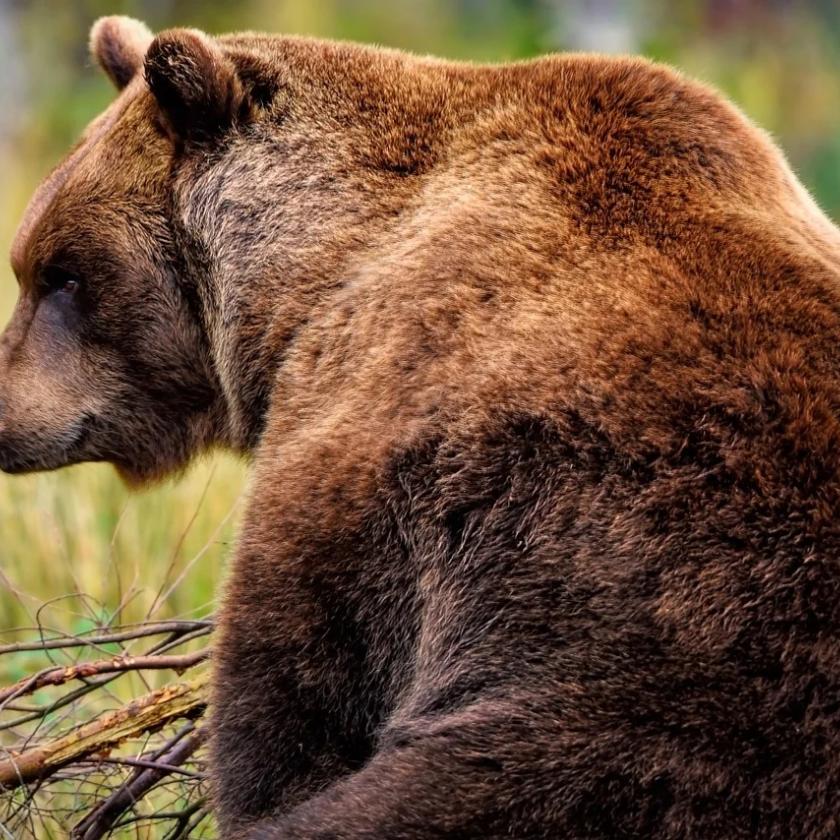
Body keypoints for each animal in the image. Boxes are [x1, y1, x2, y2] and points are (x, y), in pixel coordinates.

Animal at [1, 14, 840, 840]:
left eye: (61, 274)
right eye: (31, 263)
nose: (2, 409)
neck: (310, 274)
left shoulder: (375, 460)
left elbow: (293, 705)